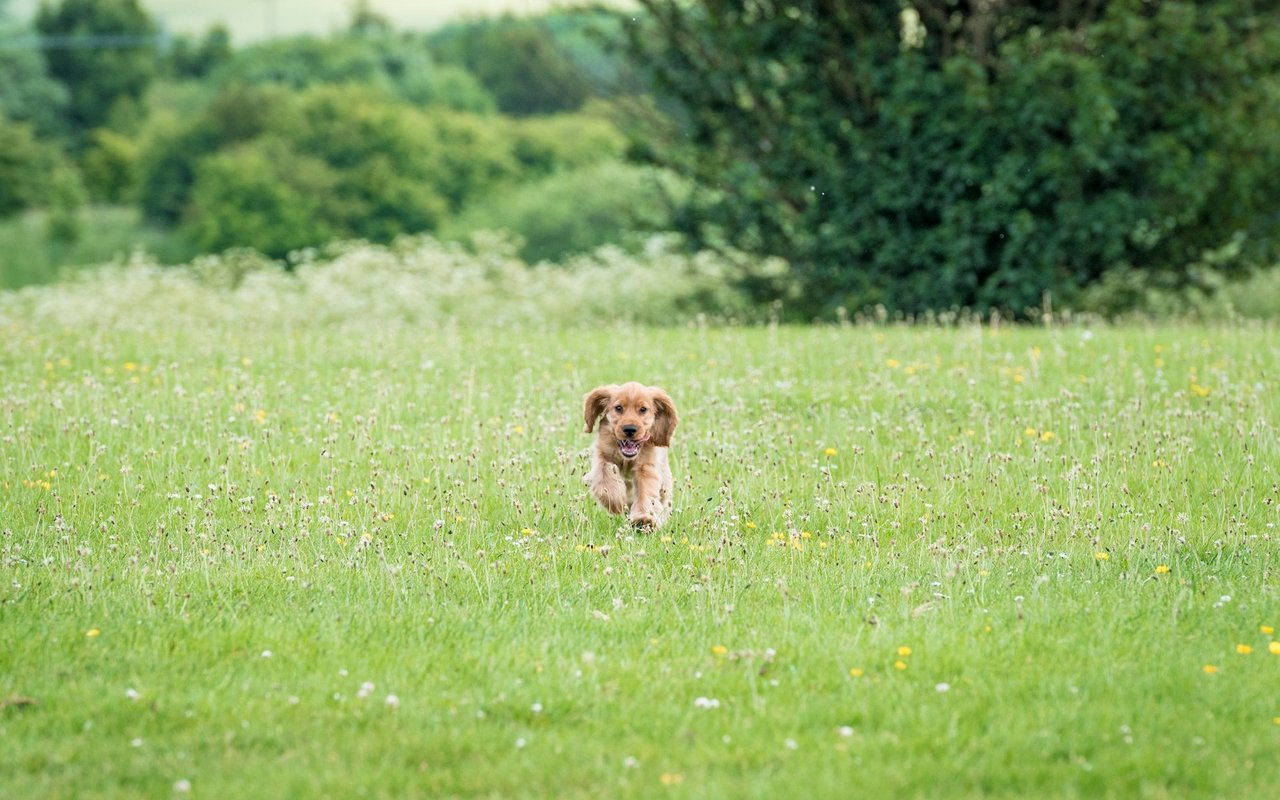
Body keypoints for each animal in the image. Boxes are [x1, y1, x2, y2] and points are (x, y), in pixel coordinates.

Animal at [583, 381, 680, 529]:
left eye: (643, 409)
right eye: (618, 408)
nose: (629, 429)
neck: (627, 459)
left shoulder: (646, 467)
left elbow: (645, 492)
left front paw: (643, 519)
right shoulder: (602, 455)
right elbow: (605, 472)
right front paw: (614, 500)